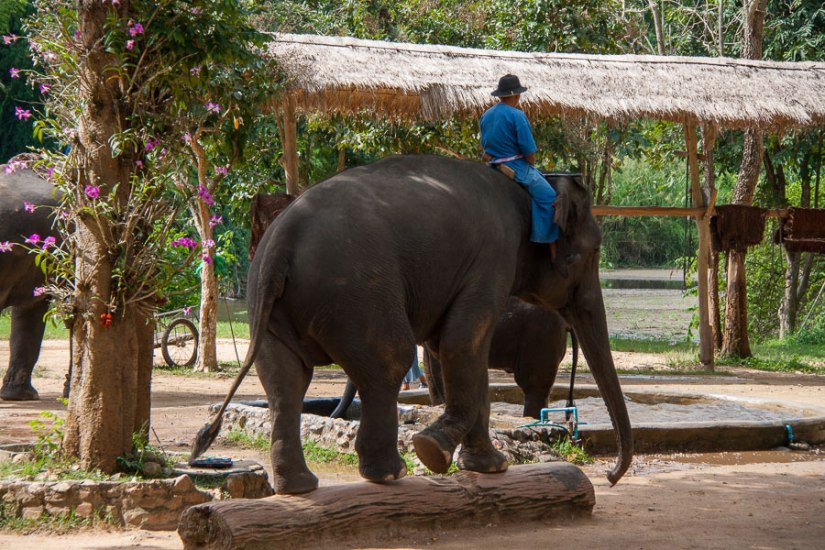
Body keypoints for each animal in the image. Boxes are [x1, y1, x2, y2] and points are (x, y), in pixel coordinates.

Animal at [192, 154, 632, 495]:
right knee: (389, 360)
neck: (528, 186)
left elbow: (456, 350)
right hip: (357, 293)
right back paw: (390, 473)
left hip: (267, 306)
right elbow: (460, 344)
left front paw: (489, 466)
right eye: (590, 254)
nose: (611, 477)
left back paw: (300, 487)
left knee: (286, 382)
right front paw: (433, 451)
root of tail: (282, 238)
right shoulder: (492, 258)